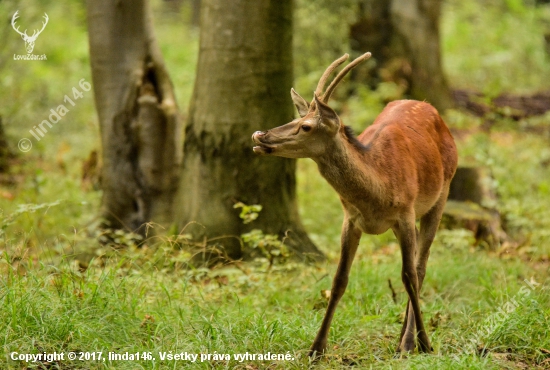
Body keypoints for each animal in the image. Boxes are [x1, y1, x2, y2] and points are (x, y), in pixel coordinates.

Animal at [252, 52, 460, 356]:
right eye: (295, 117)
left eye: (306, 126)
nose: (259, 135)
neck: (377, 191)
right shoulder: (350, 219)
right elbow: (339, 280)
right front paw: (316, 349)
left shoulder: (405, 212)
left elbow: (408, 276)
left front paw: (422, 343)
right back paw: (401, 336)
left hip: (441, 194)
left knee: (420, 268)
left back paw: (408, 340)